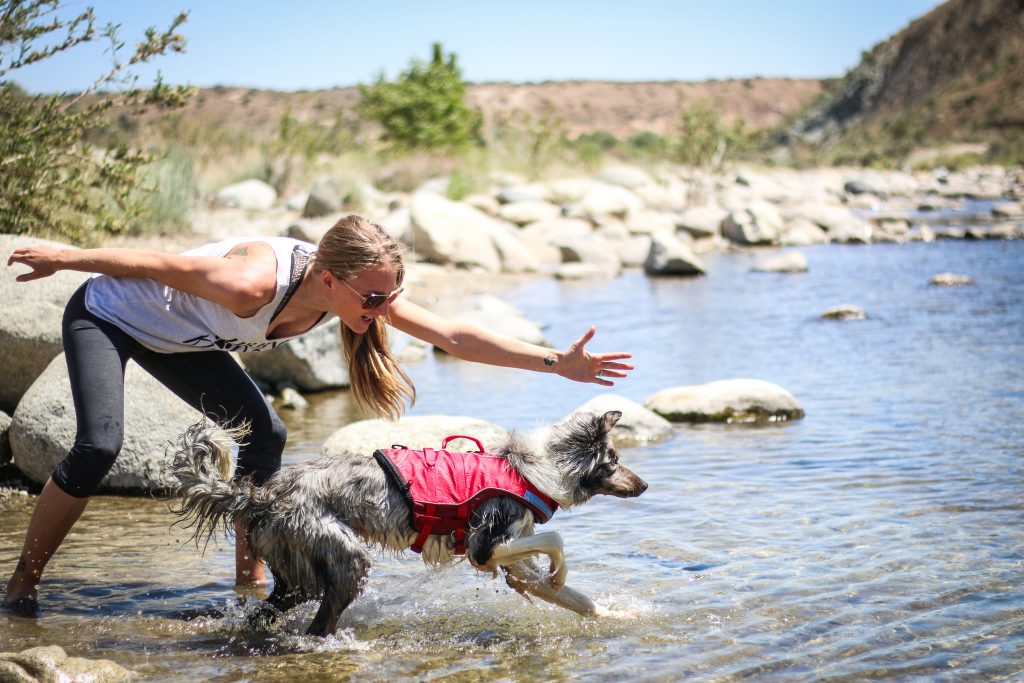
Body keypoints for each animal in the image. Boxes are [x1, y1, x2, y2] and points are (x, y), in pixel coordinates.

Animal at [171, 409, 643, 638]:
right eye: (614, 461)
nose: (645, 485)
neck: (531, 470)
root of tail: (260, 494)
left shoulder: (514, 567)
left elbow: (580, 600)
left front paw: (618, 616)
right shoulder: (485, 546)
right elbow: (555, 538)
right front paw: (560, 573)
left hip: (298, 574)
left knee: (268, 612)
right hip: (347, 559)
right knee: (320, 625)